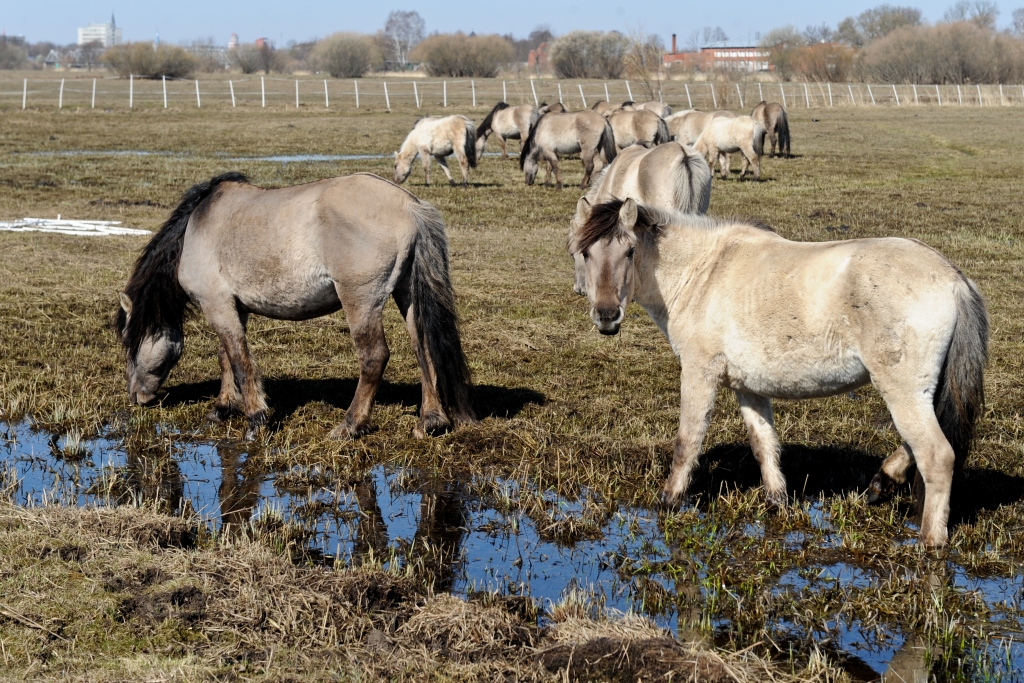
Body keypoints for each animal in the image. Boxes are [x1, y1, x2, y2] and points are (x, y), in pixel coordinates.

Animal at [116, 172, 475, 444]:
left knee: (374, 357)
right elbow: (226, 357)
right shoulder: (233, 307)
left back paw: (349, 426)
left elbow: (240, 361)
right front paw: (222, 408)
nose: (137, 397)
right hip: (407, 295)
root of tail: (410, 205)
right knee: (423, 349)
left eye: (128, 343)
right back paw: (431, 421)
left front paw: (255, 420)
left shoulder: (216, 304)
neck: (197, 226)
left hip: (360, 301)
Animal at [573, 194, 987, 548]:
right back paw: (881, 483)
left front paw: (669, 499)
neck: (703, 273)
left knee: (937, 456)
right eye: (586, 252)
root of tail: (953, 278)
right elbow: (764, 443)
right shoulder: (747, 386)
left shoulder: (699, 373)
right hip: (916, 392)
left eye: (629, 251)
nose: (606, 316)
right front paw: (777, 501)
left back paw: (931, 542)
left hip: (902, 391)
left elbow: (687, 441)